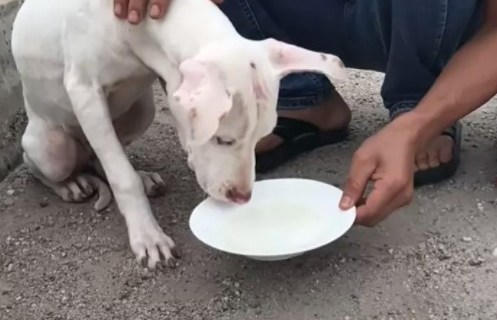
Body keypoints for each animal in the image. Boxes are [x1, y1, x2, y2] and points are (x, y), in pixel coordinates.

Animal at [10, 0, 344, 268]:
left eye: (260, 138)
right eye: (223, 139)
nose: (243, 198)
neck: (138, 30)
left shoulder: (165, 75)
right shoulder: (84, 91)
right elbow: (122, 177)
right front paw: (148, 237)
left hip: (142, 110)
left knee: (97, 155)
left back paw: (141, 175)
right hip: (51, 146)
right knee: (44, 164)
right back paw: (71, 184)